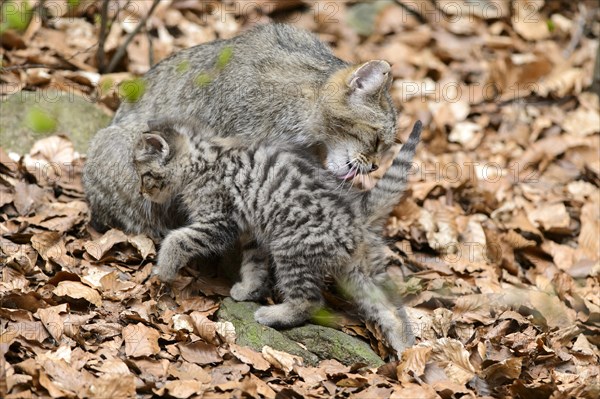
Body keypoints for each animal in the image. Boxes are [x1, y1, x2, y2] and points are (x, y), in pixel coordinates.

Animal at [133, 119, 420, 356]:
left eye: (145, 176)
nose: (141, 193)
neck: (205, 159)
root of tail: (358, 214)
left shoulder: (218, 222)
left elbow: (177, 239)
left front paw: (163, 270)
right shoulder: (252, 232)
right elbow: (254, 264)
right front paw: (249, 288)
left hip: (291, 249)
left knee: (310, 300)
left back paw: (274, 315)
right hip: (354, 271)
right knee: (383, 306)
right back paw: (403, 345)